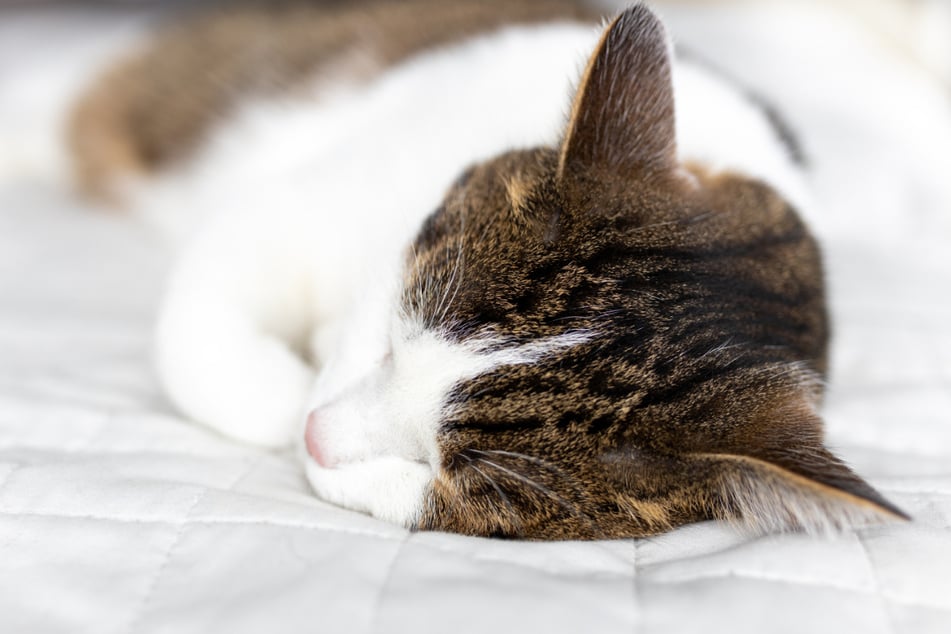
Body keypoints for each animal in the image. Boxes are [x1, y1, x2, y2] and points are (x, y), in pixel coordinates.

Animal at [69, 1, 908, 540]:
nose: (315, 436)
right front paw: (277, 398)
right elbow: (206, 316)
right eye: (390, 340)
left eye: (451, 478)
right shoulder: (300, 206)